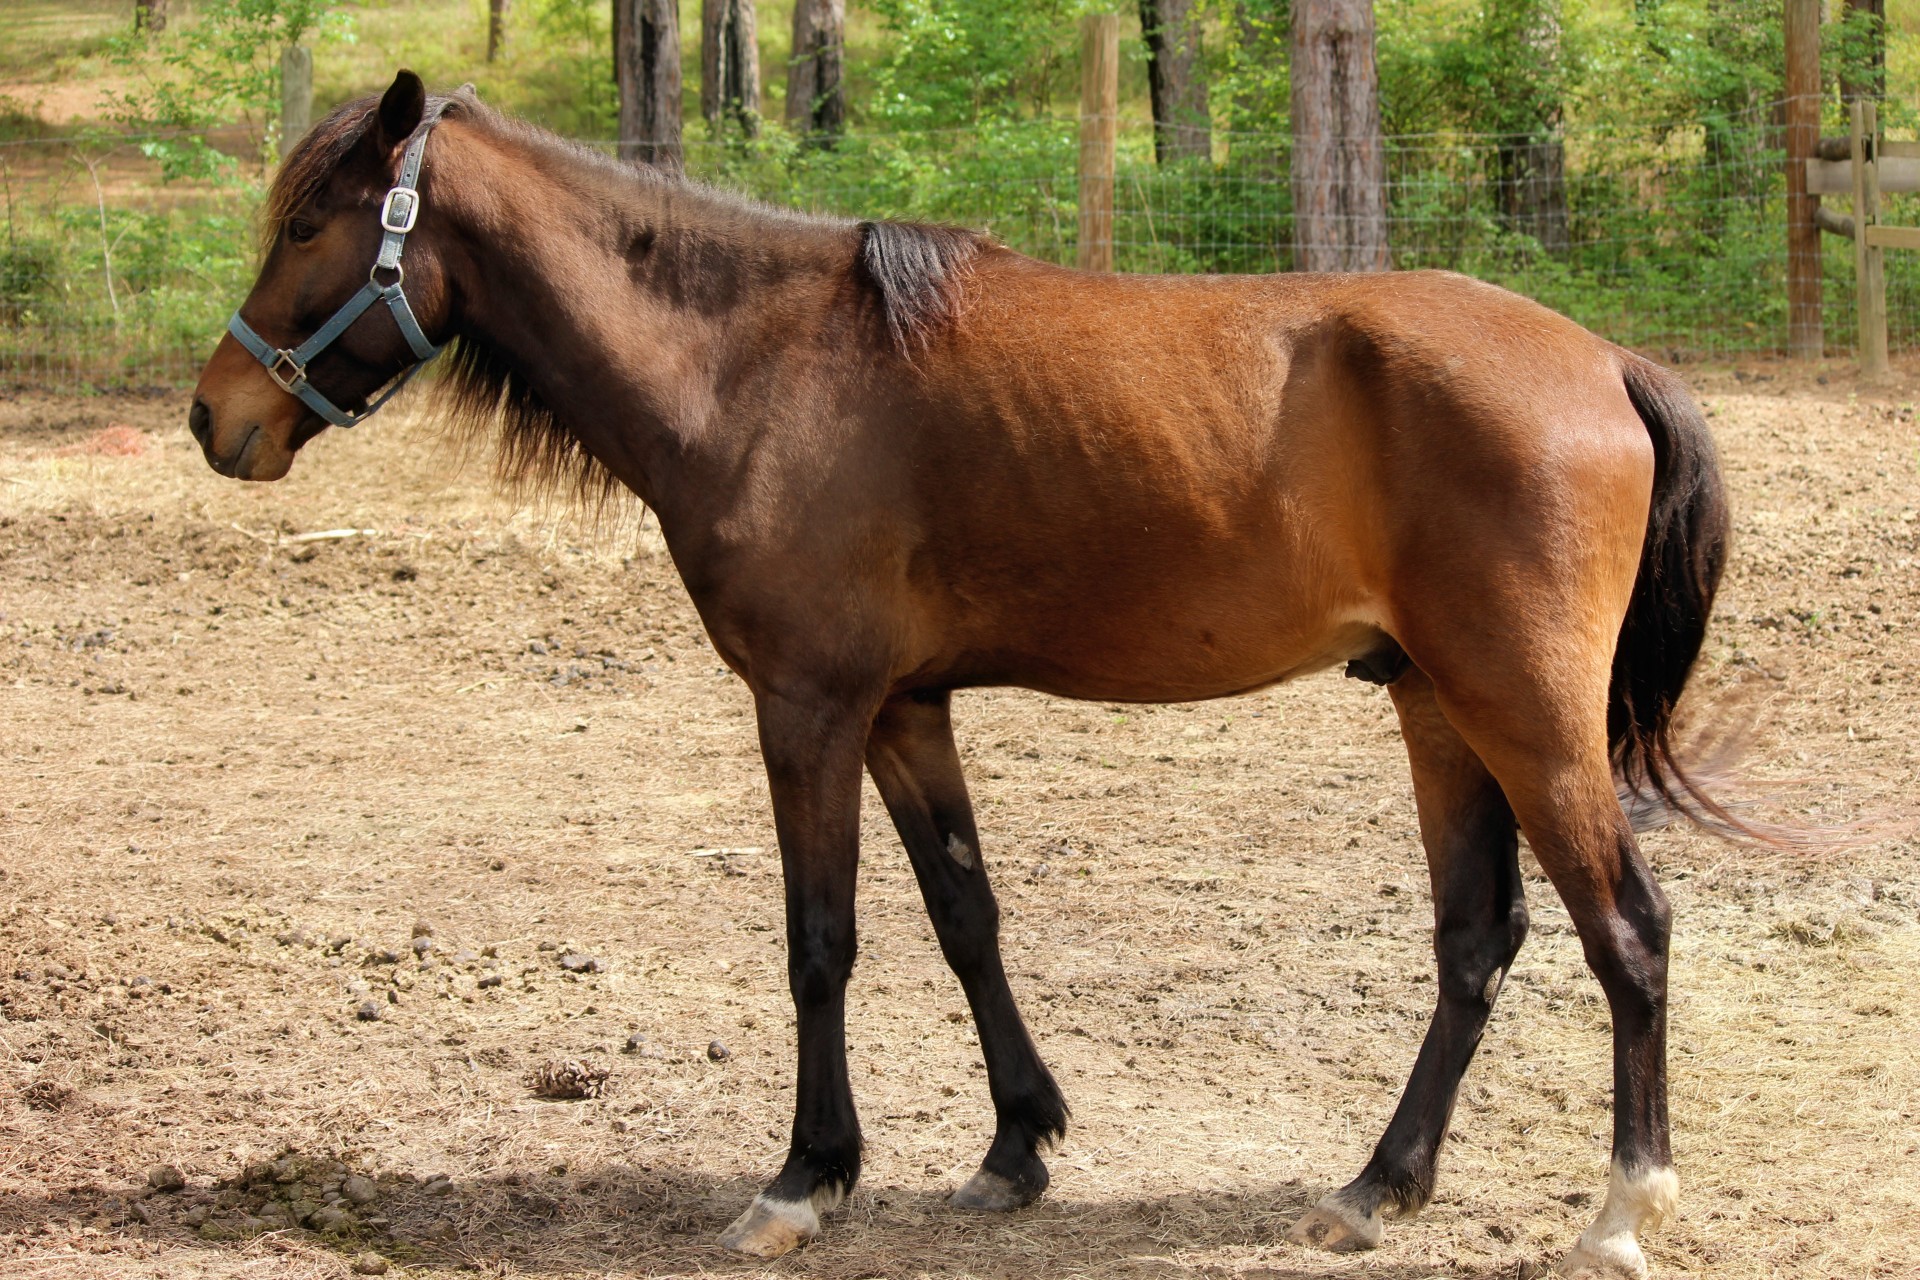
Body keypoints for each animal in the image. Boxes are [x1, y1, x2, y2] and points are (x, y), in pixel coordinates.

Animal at [183, 75, 1743, 1274]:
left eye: (311, 223)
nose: (214, 414)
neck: (755, 366)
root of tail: (1603, 362)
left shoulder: (808, 707)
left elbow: (822, 942)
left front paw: (804, 1178)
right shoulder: (904, 711)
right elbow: (965, 917)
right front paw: (1015, 1145)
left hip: (1526, 717)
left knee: (1631, 931)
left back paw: (1624, 1207)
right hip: (1438, 708)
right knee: (1477, 941)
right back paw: (1378, 1185)